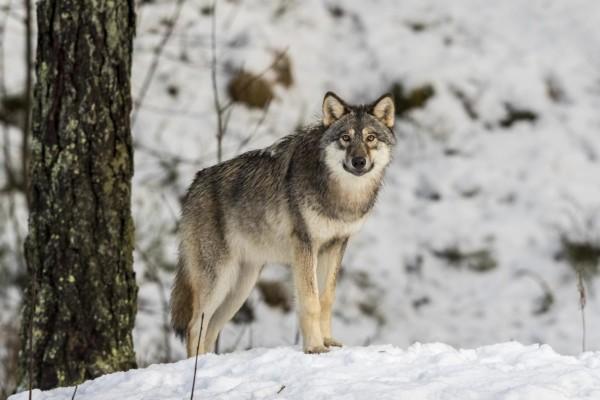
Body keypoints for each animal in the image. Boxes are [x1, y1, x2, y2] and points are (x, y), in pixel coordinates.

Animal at [170, 92, 394, 354]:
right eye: (345, 138)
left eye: (370, 138)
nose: (358, 161)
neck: (342, 196)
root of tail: (194, 184)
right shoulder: (305, 245)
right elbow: (310, 301)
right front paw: (315, 347)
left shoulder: (336, 245)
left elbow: (326, 299)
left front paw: (328, 341)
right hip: (219, 279)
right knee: (194, 326)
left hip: (241, 287)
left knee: (211, 329)